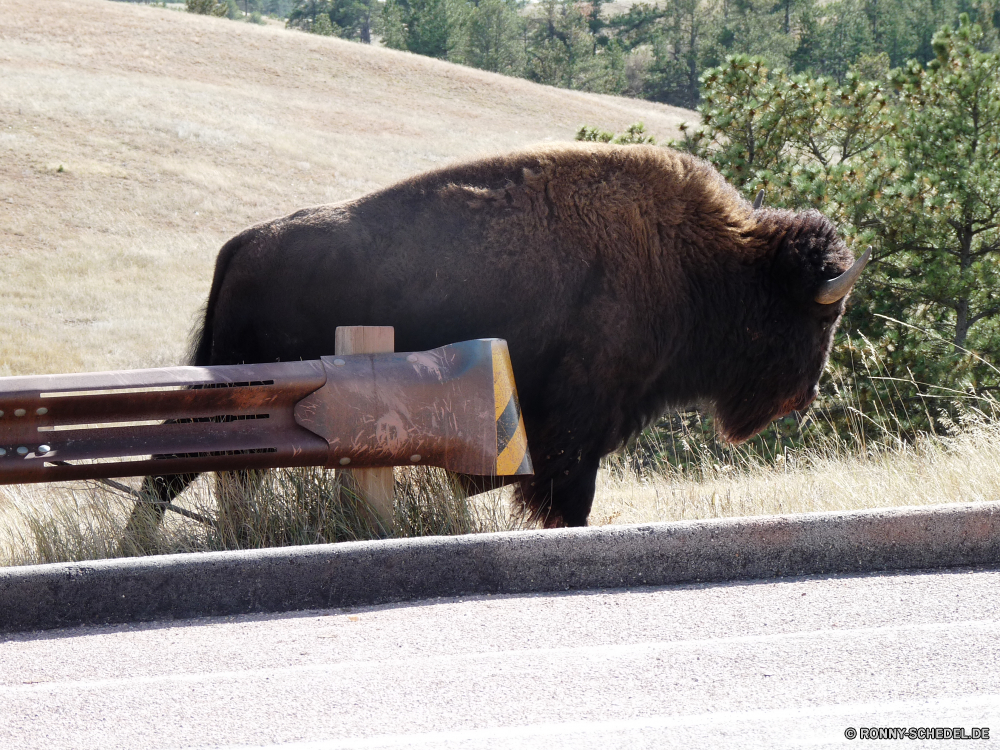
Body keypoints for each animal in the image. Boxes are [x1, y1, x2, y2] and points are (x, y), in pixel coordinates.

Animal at [141, 142, 868, 528]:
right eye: (818, 317)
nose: (804, 397)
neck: (701, 260)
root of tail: (240, 246)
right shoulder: (575, 431)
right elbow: (567, 497)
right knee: (170, 474)